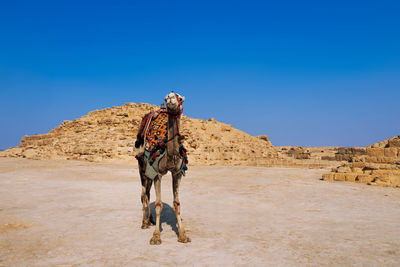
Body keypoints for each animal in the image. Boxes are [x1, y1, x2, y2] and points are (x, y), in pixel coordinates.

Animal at [134, 92, 191, 245]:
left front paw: (182, 234)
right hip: (142, 168)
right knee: (143, 194)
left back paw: (151, 220)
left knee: (147, 193)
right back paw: (144, 222)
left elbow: (177, 203)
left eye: (180, 97)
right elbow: (159, 204)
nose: (171, 97)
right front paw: (156, 236)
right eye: (166, 98)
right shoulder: (157, 173)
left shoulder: (177, 172)